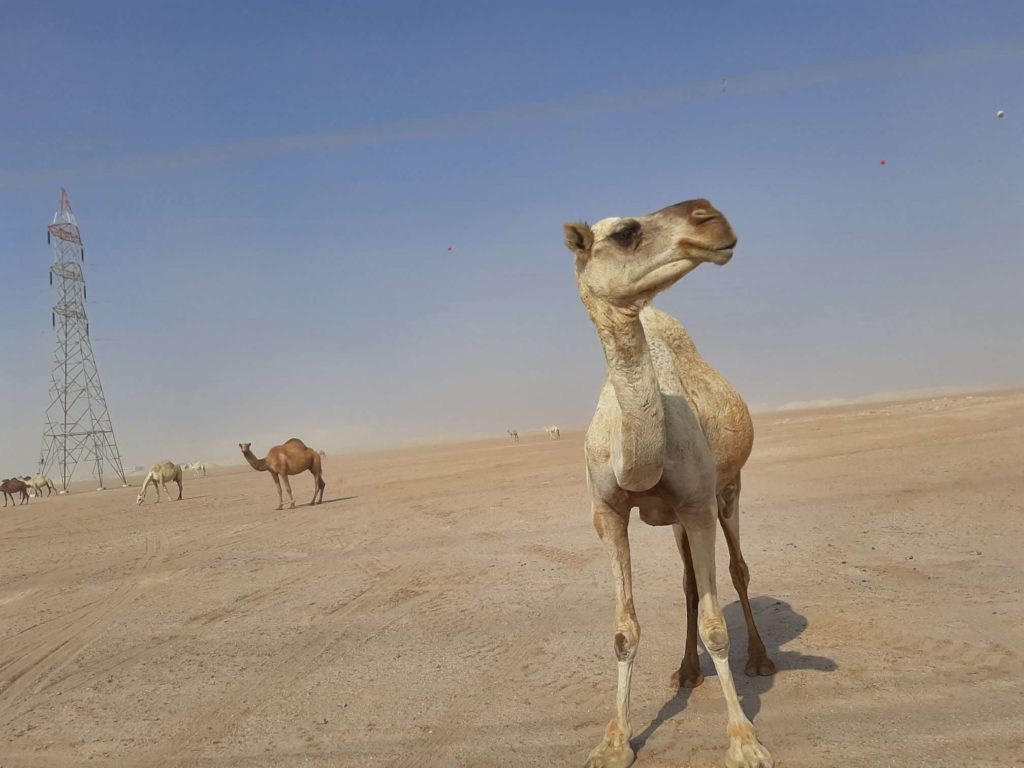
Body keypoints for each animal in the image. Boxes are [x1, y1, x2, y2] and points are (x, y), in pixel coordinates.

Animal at [565, 199, 770, 768]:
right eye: (624, 232)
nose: (710, 215)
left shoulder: (698, 504)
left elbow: (716, 626)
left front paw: (744, 740)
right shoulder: (608, 514)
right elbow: (623, 631)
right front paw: (614, 741)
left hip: (729, 489)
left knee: (738, 569)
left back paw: (761, 659)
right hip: (677, 519)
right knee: (688, 585)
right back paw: (686, 672)